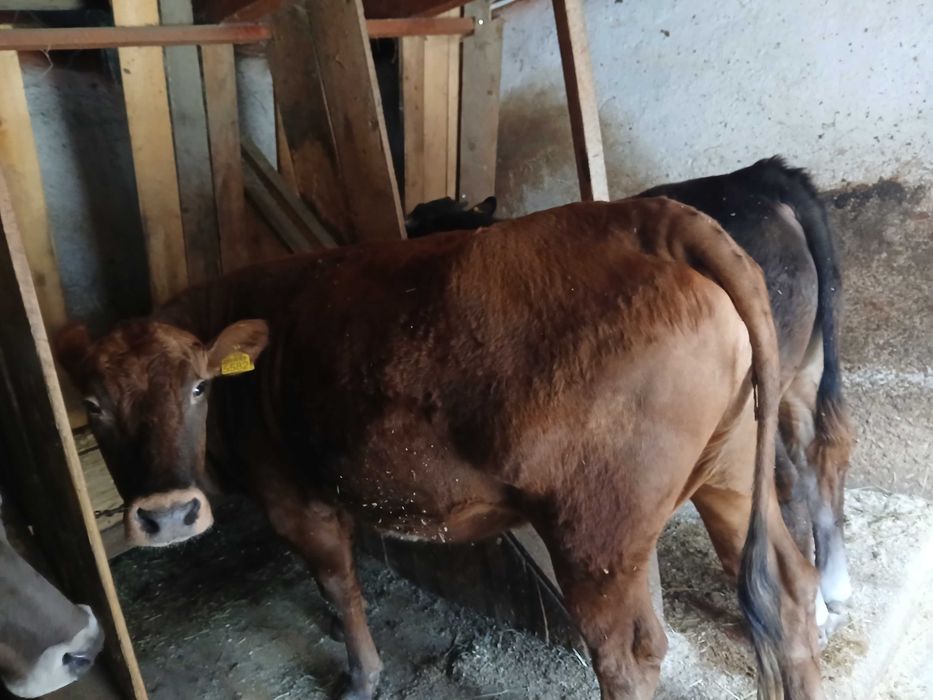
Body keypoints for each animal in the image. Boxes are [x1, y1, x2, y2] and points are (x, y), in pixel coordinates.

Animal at [55, 198, 824, 700]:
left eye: (197, 387)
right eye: (92, 405)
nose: (167, 514)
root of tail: (648, 216)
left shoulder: (295, 499)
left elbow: (340, 589)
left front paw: (361, 678)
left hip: (597, 531)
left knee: (627, 656)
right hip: (730, 473)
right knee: (788, 590)